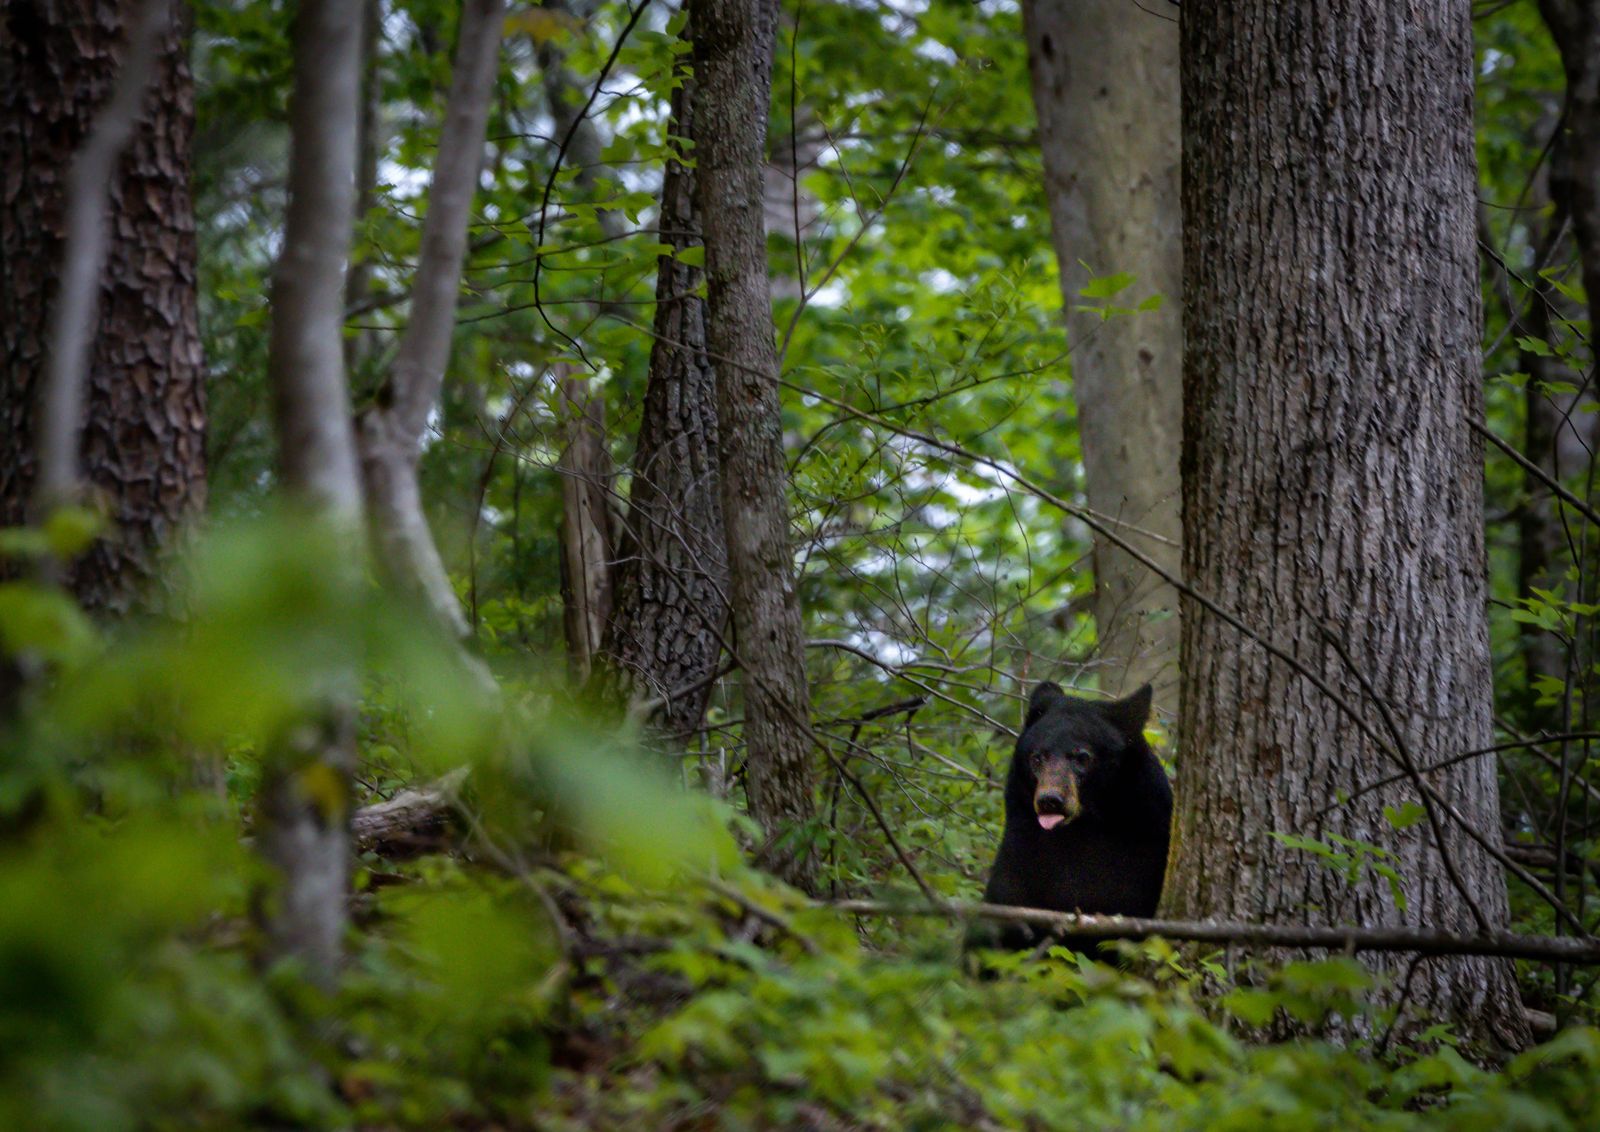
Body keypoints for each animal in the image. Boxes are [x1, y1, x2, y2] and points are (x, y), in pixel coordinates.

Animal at [966, 681, 1171, 952]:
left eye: (1082, 757)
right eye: (1037, 757)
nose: (1050, 800)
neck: (1079, 832)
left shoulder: (1142, 849)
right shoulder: (1021, 853)